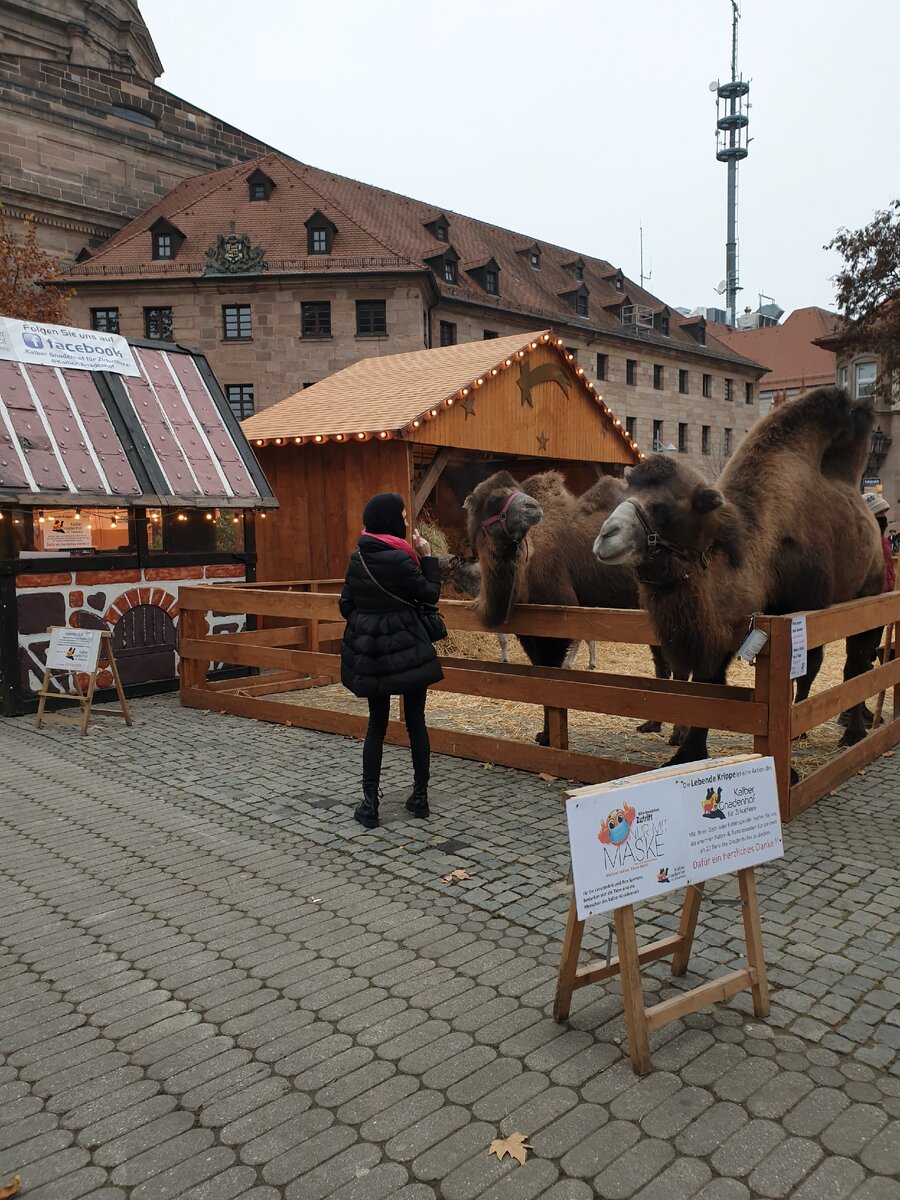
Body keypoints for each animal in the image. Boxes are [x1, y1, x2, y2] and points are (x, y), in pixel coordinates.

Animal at [465, 468, 672, 739]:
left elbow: (551, 681)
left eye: (516, 490)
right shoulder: (529, 631)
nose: (532, 507)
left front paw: (547, 737)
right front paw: (544, 735)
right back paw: (652, 725)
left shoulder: (556, 623)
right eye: (494, 500)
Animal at [595, 384, 883, 758]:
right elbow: (709, 681)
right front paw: (687, 753)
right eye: (622, 497)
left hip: (869, 595)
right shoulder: (723, 626)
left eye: (663, 506)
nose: (605, 536)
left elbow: (804, 669)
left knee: (856, 664)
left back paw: (852, 735)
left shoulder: (799, 613)